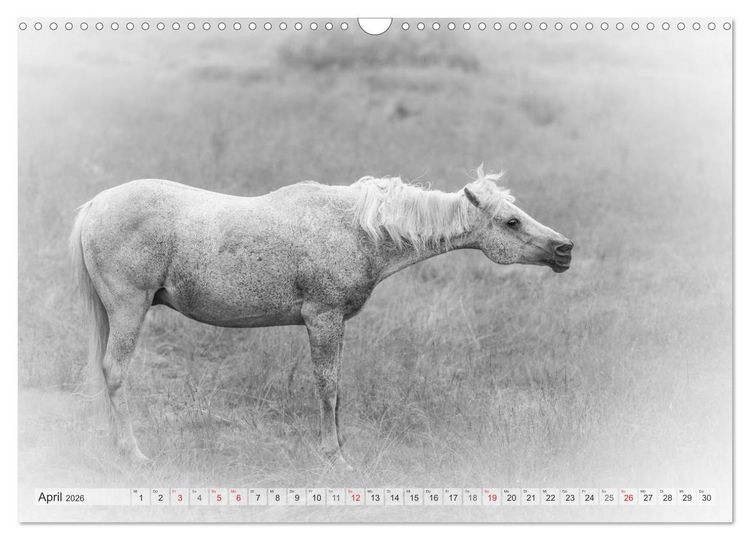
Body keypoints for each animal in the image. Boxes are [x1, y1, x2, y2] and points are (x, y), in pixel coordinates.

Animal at [69, 167, 573, 469]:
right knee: (115, 372)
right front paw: (334, 457)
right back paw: (133, 453)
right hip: (128, 308)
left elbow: (338, 388)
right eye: (511, 222)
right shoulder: (323, 319)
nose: (564, 249)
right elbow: (327, 388)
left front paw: (341, 447)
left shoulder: (337, 324)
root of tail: (95, 205)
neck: (359, 230)